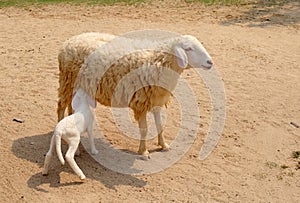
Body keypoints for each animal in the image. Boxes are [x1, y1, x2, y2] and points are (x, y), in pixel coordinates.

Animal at [74, 31, 213, 156]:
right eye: (188, 48)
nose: (210, 62)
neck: (157, 61)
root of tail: (77, 38)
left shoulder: (156, 99)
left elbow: (160, 125)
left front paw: (163, 145)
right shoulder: (140, 103)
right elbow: (144, 129)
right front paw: (143, 151)